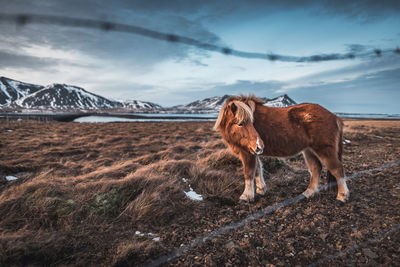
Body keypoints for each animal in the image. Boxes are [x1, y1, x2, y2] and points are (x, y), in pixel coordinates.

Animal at [214, 96, 348, 203]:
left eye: (252, 122)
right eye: (240, 124)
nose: (260, 145)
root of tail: (334, 117)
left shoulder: (247, 153)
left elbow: (249, 173)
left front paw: (246, 196)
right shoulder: (253, 152)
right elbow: (258, 169)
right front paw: (261, 190)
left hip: (324, 150)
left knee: (337, 169)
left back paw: (342, 197)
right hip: (309, 150)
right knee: (316, 168)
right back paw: (308, 193)